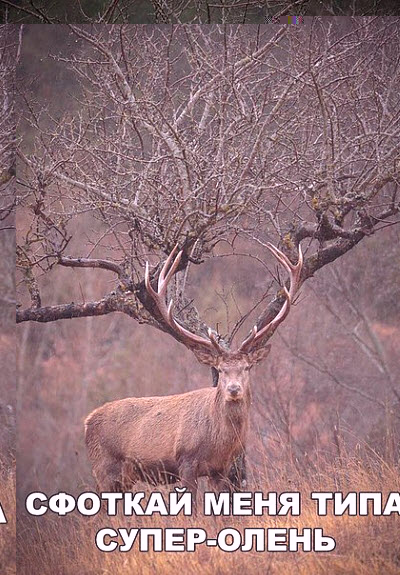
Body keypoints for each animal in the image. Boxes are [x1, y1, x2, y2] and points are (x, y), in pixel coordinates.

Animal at [85, 243, 304, 508]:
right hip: (104, 469)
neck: (218, 442)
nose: (233, 389)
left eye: (246, 368)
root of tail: (86, 422)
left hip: (123, 479)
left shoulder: (221, 469)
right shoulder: (185, 461)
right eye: (220, 369)